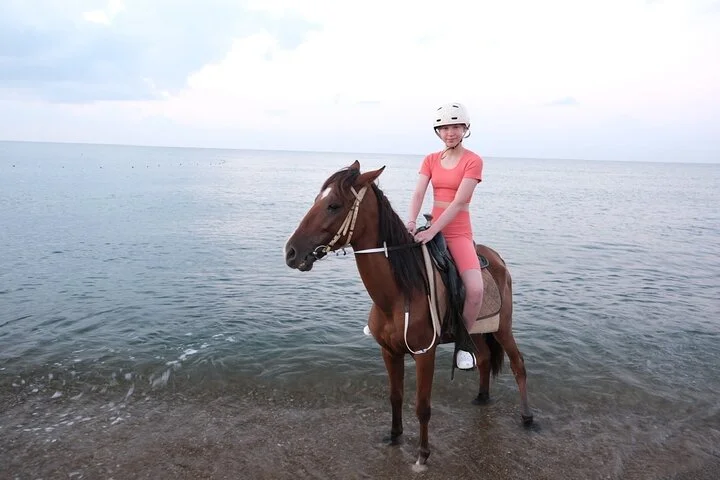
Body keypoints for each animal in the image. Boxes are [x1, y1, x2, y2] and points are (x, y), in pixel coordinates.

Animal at [284, 160, 533, 467]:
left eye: (333, 205)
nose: (291, 252)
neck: (399, 293)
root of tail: (498, 259)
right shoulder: (389, 352)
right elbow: (395, 396)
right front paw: (394, 436)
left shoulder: (425, 355)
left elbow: (423, 406)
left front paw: (423, 454)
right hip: (478, 330)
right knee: (485, 359)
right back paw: (482, 398)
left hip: (502, 327)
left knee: (518, 365)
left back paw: (527, 417)